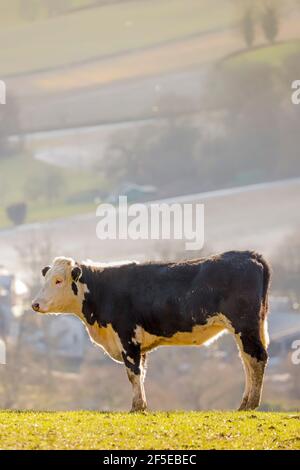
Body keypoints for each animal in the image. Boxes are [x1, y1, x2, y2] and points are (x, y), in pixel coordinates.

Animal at [32, 250, 270, 412]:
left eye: (58, 280)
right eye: (46, 279)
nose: (35, 304)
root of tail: (248, 255)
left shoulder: (127, 337)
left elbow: (133, 373)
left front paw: (137, 407)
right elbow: (142, 373)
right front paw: (142, 405)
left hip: (244, 325)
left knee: (257, 358)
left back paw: (251, 403)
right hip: (249, 328)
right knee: (247, 360)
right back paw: (245, 402)